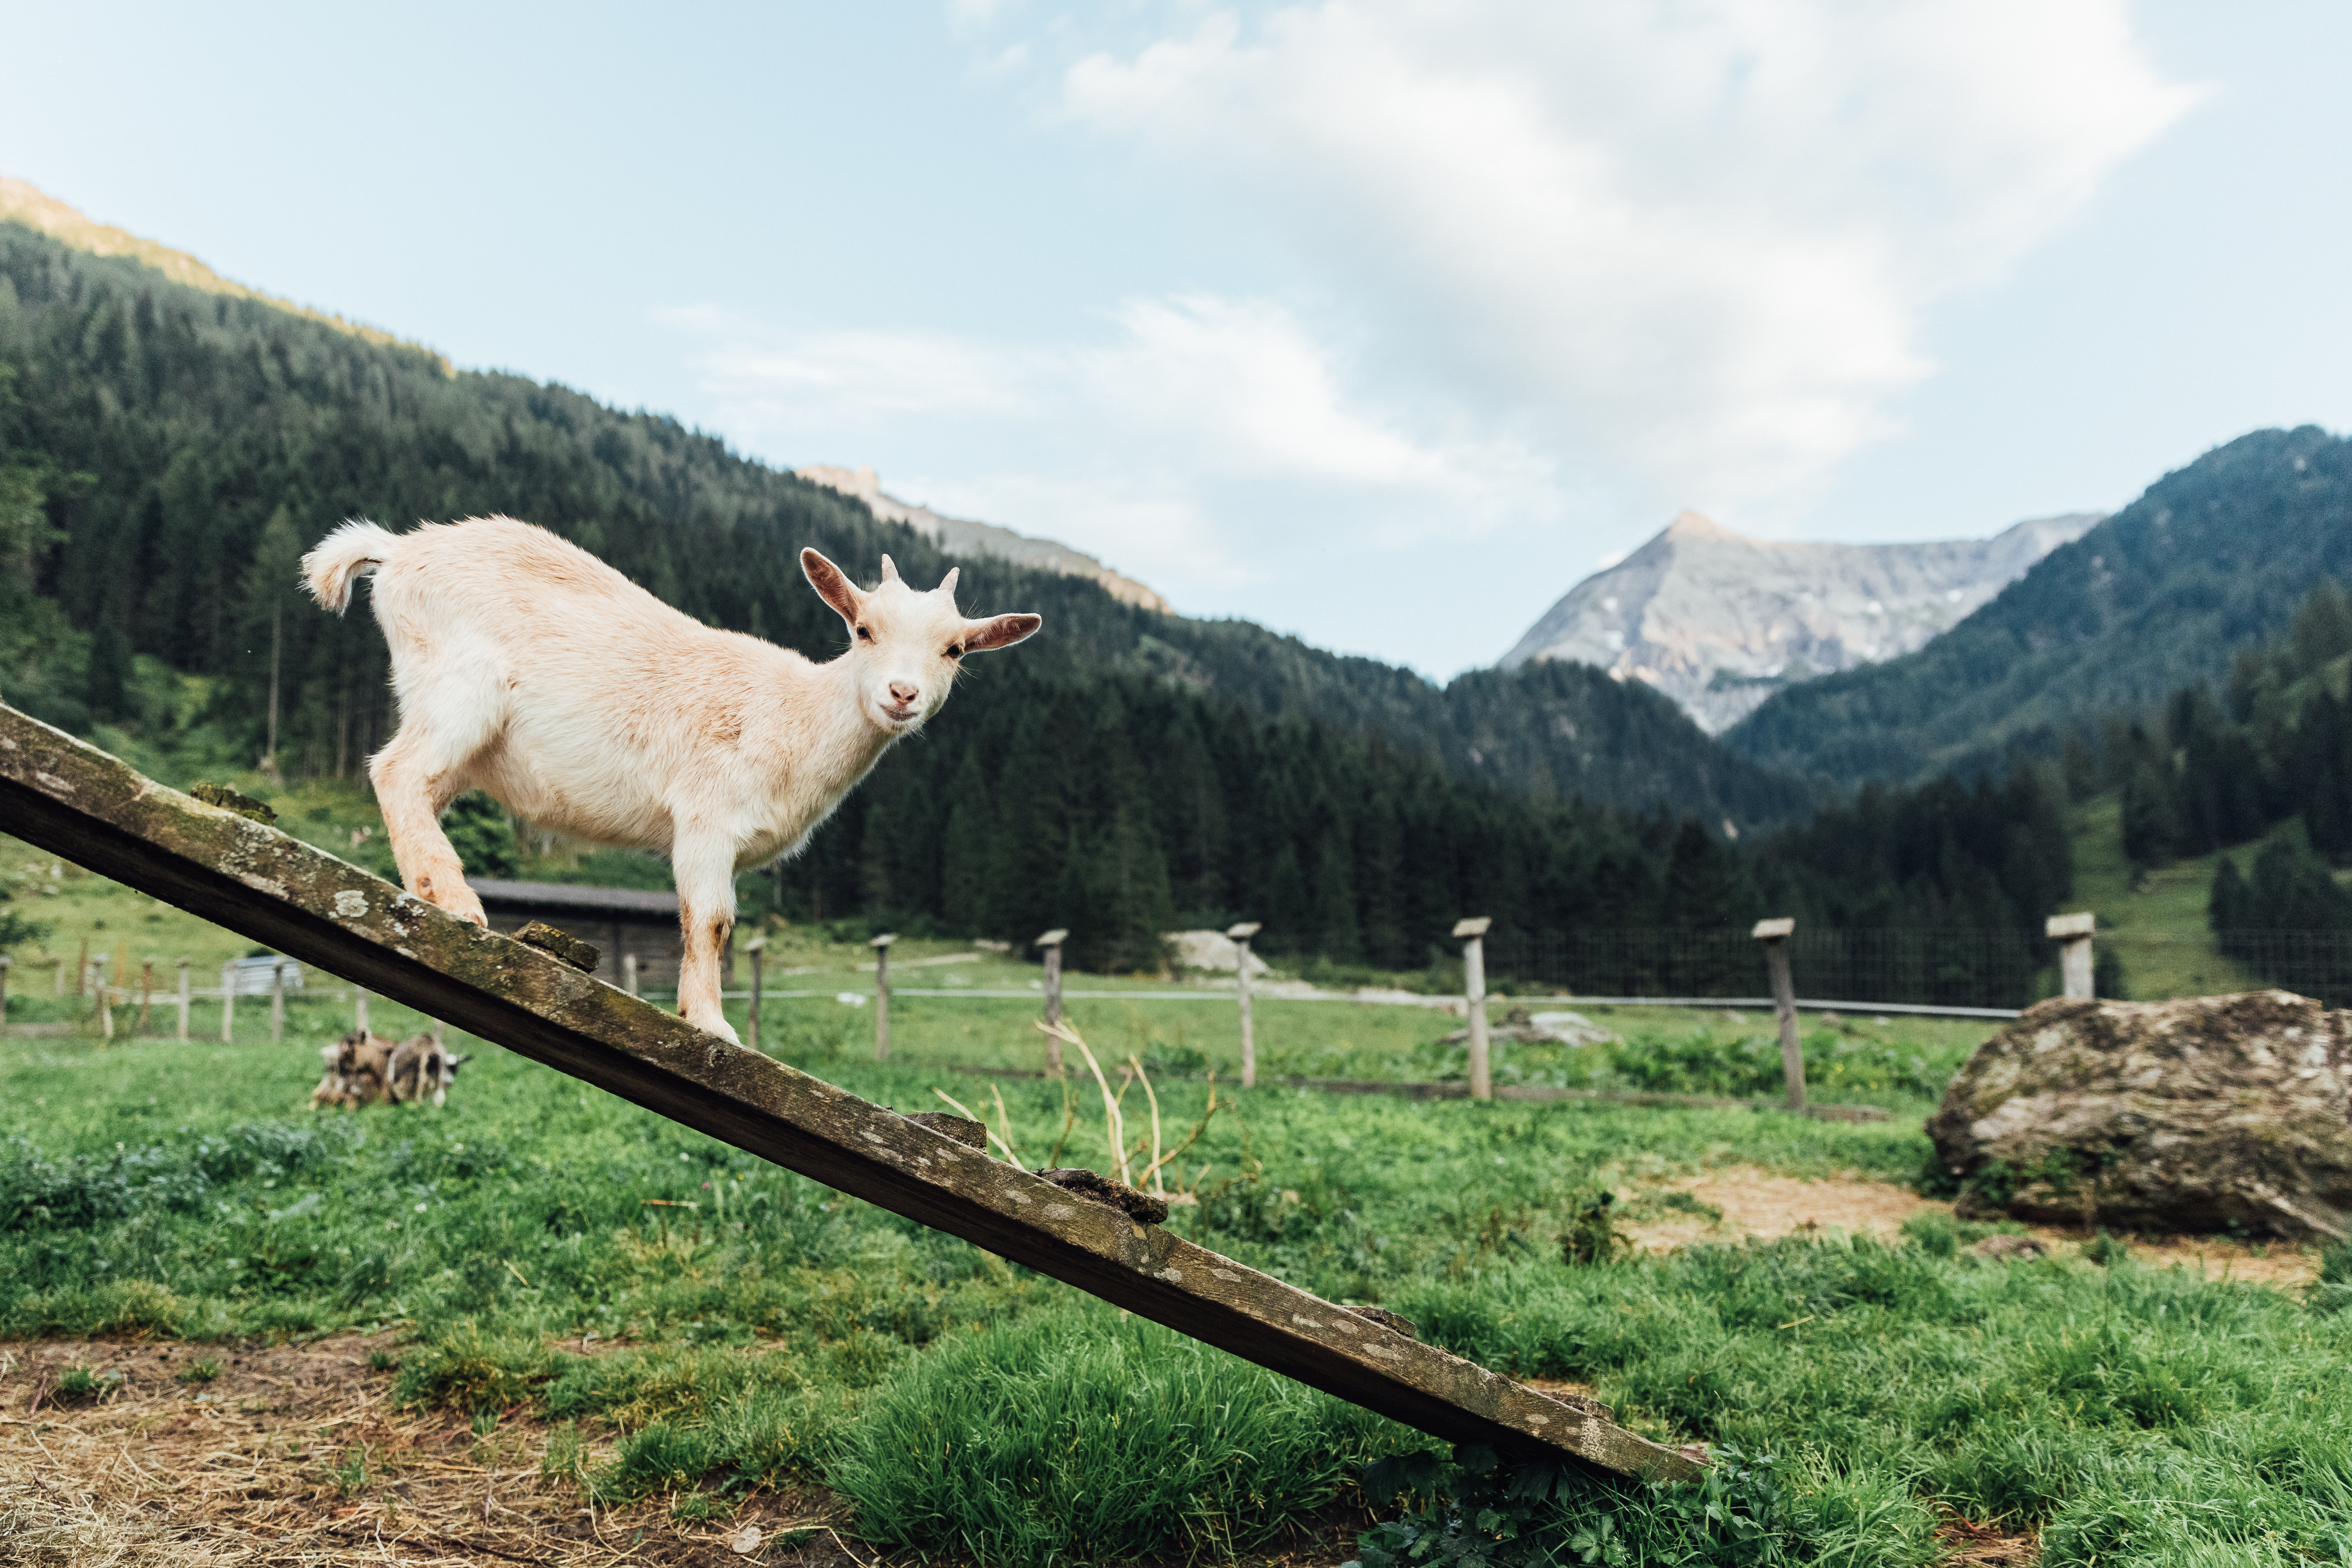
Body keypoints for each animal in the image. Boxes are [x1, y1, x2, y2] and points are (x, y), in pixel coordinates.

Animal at [301, 515, 1040, 1044]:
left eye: (955, 650)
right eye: (862, 630)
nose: (901, 693)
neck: (795, 716)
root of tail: (397, 551)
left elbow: (718, 923)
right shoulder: (708, 818)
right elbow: (710, 920)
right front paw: (713, 1025)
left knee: (416, 785)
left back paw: (424, 892)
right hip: (462, 688)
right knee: (396, 769)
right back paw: (456, 902)